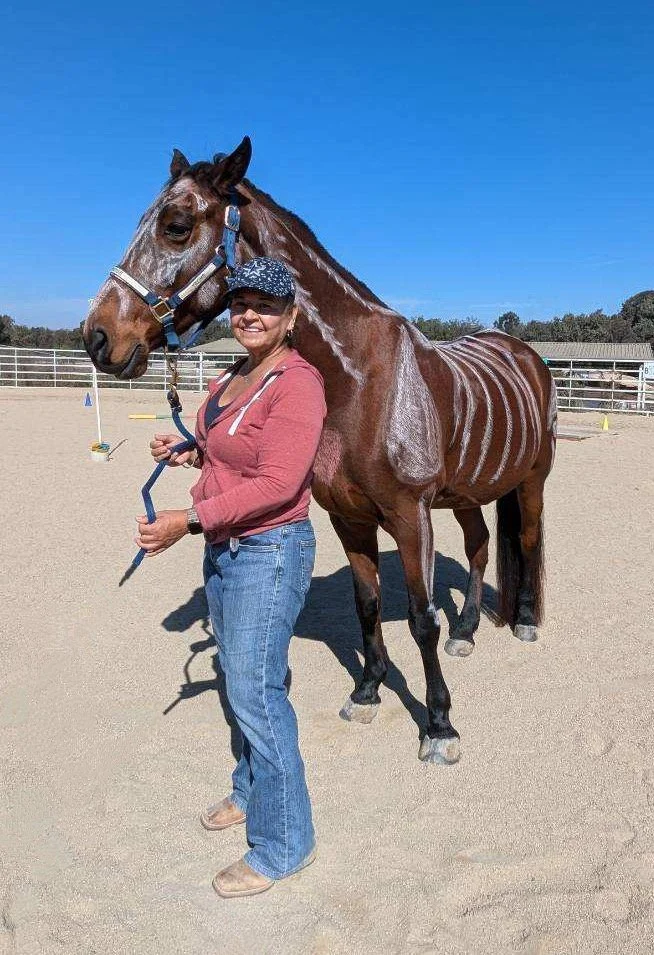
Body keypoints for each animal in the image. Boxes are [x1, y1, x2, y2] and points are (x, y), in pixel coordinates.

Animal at [83, 137, 556, 764]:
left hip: (530, 482)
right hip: (465, 495)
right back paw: (467, 632)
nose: (97, 336)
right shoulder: (349, 518)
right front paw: (368, 690)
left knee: (525, 540)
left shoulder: (411, 516)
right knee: (480, 548)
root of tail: (522, 353)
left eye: (176, 227)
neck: (357, 380)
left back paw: (523, 621)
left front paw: (439, 726)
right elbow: (367, 605)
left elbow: (421, 618)